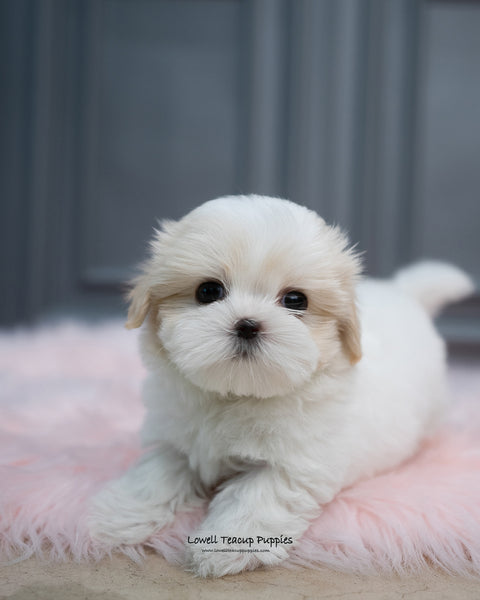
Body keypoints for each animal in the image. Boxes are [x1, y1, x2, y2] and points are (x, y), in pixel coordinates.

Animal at [88, 193, 474, 576]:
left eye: (295, 300)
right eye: (208, 291)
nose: (247, 324)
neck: (235, 395)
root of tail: (403, 292)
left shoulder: (296, 463)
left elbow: (257, 497)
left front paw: (224, 548)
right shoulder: (175, 436)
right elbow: (153, 476)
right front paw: (112, 518)